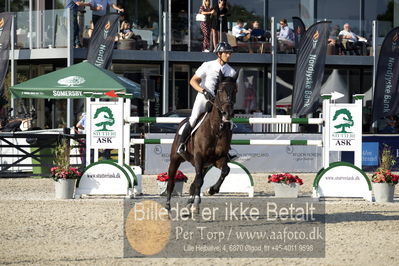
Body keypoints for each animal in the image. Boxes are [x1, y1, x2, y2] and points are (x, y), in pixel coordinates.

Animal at [166, 69, 238, 213]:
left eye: (235, 90)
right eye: (220, 90)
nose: (228, 113)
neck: (216, 128)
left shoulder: (219, 159)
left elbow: (225, 171)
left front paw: (212, 190)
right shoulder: (199, 157)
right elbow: (199, 181)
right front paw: (197, 202)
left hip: (205, 165)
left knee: (196, 181)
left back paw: (189, 203)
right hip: (176, 159)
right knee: (171, 180)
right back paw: (168, 205)